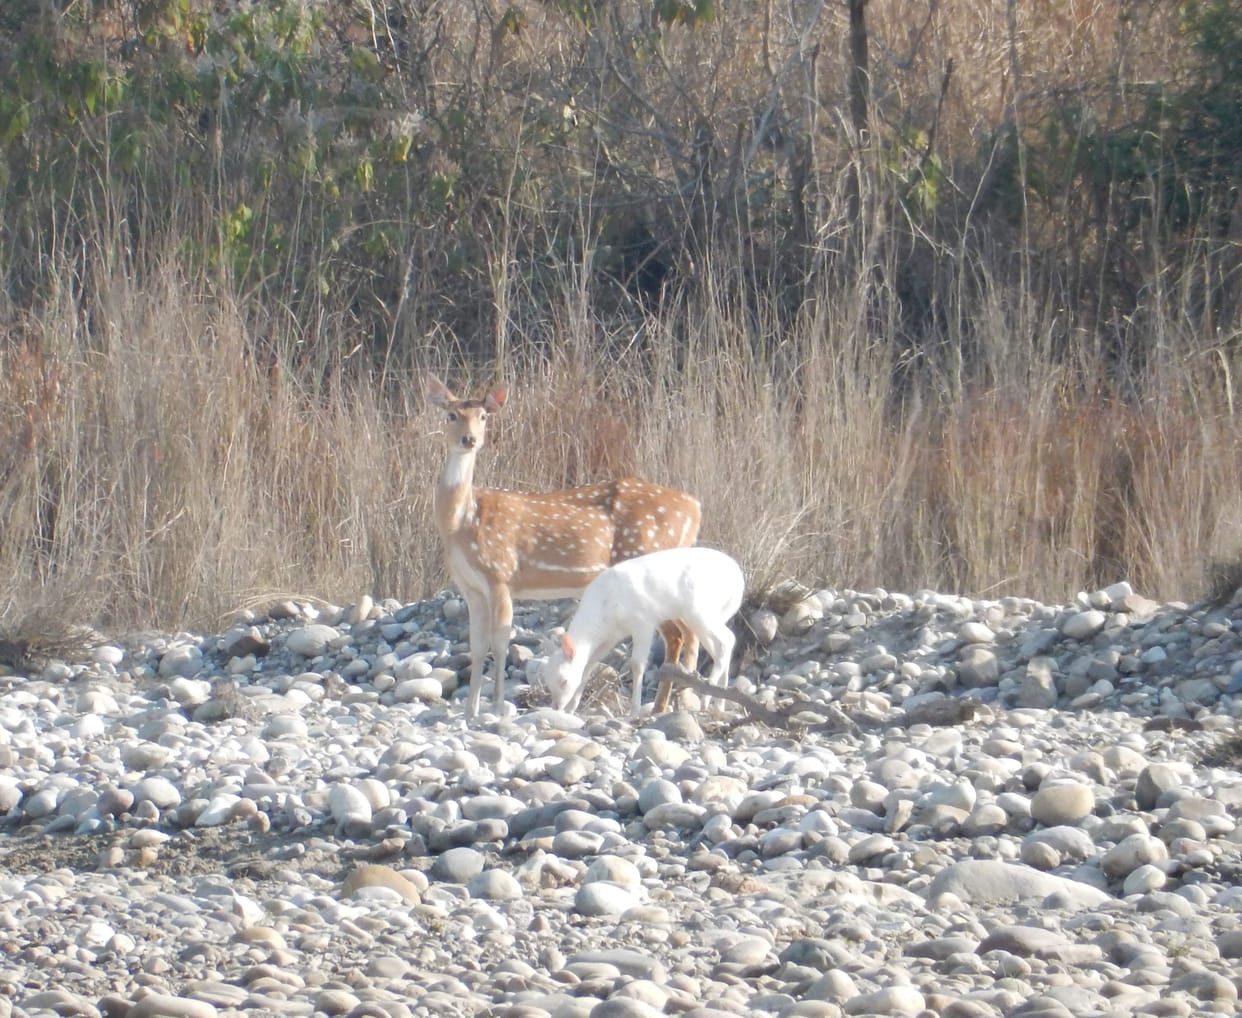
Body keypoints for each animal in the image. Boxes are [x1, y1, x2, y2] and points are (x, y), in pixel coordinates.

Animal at [426, 374, 703, 718]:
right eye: (451, 415)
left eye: (483, 416)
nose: (469, 439)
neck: (461, 522)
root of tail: (695, 508)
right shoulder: (471, 587)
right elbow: (476, 645)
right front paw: (469, 711)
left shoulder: (501, 573)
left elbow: (500, 641)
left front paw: (497, 706)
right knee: (688, 633)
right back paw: (675, 703)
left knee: (677, 634)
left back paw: (663, 706)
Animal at [540, 547, 744, 716]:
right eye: (548, 682)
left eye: (564, 681)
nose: (556, 707)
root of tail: (740, 580)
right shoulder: (610, 638)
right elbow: (589, 665)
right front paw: (572, 709)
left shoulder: (643, 623)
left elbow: (637, 664)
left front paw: (634, 711)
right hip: (710, 615)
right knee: (728, 640)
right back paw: (719, 705)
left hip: (699, 612)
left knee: (724, 642)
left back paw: (706, 697)